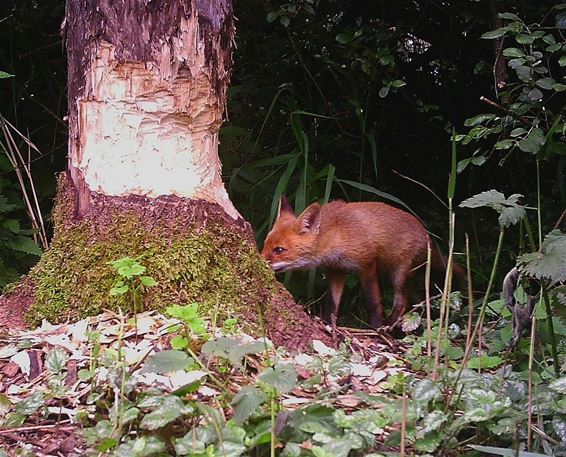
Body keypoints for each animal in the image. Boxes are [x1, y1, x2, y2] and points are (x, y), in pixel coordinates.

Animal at [262, 196, 466, 328]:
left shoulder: (367, 265)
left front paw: (375, 327)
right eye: (264, 245)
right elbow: (331, 303)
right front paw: (328, 323)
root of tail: (428, 236)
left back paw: (388, 327)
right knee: (415, 300)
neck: (337, 234)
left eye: (279, 250)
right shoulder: (335, 270)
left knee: (402, 301)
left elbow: (372, 302)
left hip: (399, 274)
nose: (260, 261)